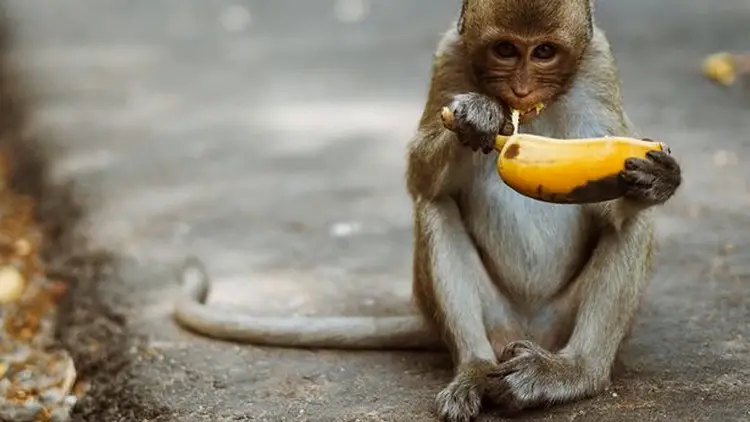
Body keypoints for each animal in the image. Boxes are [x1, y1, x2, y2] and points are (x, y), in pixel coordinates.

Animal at [172, 1, 682, 421]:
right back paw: (474, 368)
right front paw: (478, 116)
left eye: (543, 52)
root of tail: (525, 330)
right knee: (434, 207)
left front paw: (658, 179)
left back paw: (573, 373)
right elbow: (421, 178)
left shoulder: (600, 67)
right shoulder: (448, 57)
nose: (520, 89)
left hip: (561, 320)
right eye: (504, 50)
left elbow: (615, 211)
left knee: (635, 223)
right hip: (493, 316)